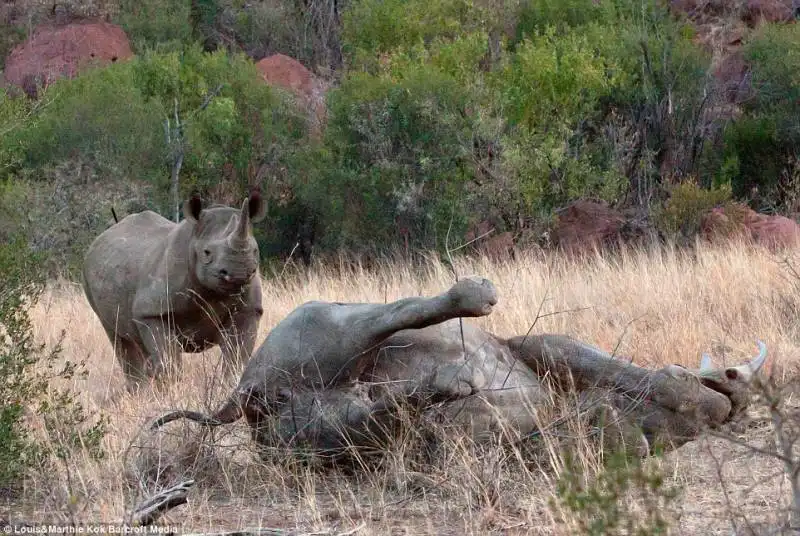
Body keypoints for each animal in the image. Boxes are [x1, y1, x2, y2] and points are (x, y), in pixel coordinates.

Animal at [83, 191, 268, 388]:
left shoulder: (248, 310)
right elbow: (169, 363)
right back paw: (140, 389)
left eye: (255, 251)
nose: (239, 272)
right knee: (119, 338)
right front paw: (172, 389)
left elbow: (236, 361)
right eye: (207, 253)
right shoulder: (152, 312)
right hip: (88, 275)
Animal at [152, 278, 768, 458]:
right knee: (395, 316)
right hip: (326, 324)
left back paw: (439, 387)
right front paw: (712, 392)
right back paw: (472, 298)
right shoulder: (549, 345)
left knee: (377, 412)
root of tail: (244, 393)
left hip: (315, 429)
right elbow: (651, 379)